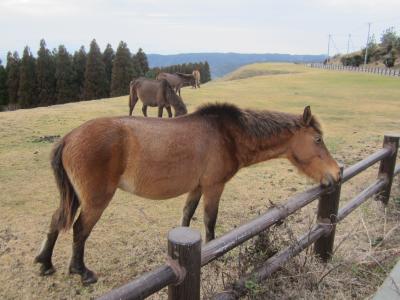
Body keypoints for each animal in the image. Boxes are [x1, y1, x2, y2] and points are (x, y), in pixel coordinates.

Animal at [36, 103, 340, 284]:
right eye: (318, 139)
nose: (336, 173)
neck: (228, 134)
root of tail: (69, 137)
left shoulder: (197, 187)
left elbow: (187, 216)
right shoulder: (214, 187)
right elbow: (209, 222)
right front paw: (215, 254)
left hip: (76, 197)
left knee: (55, 221)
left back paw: (45, 263)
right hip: (95, 200)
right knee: (79, 230)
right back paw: (81, 272)